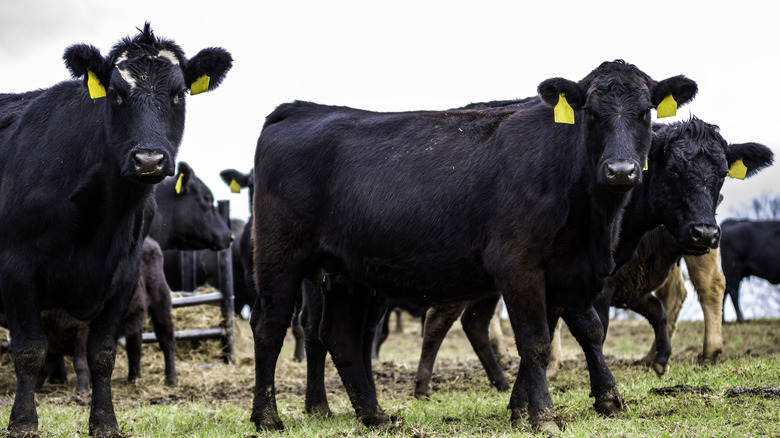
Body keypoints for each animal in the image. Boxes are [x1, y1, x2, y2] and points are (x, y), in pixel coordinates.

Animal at [250, 60, 696, 432]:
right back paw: (267, 417)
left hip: (348, 273)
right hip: (278, 257)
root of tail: (300, 109)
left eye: (645, 112)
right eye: (590, 112)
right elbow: (535, 343)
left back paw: (374, 416)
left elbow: (567, 334)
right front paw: (544, 417)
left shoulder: (564, 272)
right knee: (270, 328)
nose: (621, 171)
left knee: (340, 336)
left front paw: (527, 410)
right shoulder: (518, 264)